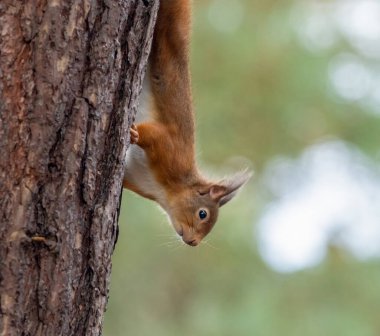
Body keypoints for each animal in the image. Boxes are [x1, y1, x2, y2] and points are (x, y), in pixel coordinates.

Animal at [123, 0, 251, 247]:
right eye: (203, 214)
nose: (194, 243)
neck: (165, 192)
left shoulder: (134, 177)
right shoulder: (169, 147)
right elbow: (152, 133)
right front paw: (134, 134)